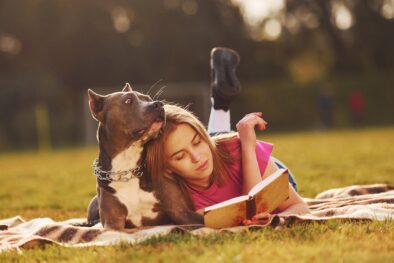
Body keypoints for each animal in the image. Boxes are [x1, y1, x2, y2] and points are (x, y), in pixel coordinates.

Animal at [86, 83, 203, 230]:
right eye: (128, 101)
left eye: (148, 99)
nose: (158, 104)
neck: (127, 166)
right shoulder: (113, 222)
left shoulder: (181, 212)